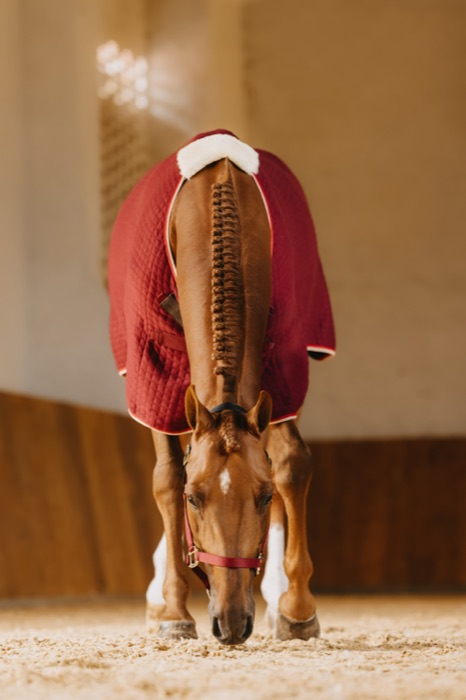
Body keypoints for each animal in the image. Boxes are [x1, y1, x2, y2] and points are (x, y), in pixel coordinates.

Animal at [108, 130, 335, 645]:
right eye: (195, 498)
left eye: (263, 496)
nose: (232, 623)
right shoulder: (156, 372)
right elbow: (166, 478)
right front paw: (174, 610)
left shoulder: (284, 367)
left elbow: (291, 465)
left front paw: (296, 607)